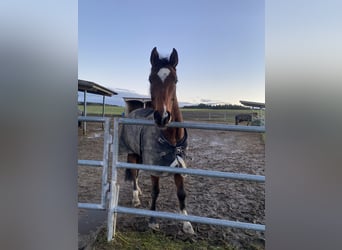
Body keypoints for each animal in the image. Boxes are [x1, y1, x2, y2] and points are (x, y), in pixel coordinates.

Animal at [119, 47, 195, 234]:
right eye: (150, 79)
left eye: (175, 80)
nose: (163, 117)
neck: (170, 138)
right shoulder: (154, 166)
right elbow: (155, 191)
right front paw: (152, 221)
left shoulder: (179, 163)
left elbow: (181, 193)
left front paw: (187, 224)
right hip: (132, 153)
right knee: (134, 173)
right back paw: (135, 197)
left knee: (137, 173)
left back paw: (139, 191)